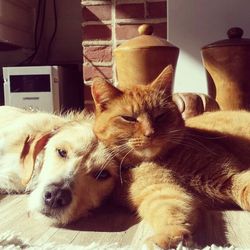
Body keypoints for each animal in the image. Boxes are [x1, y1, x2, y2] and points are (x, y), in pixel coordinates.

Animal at [91, 65, 250, 249]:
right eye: (128, 118)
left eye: (160, 115)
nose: (150, 133)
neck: (164, 161)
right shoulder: (162, 191)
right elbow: (172, 212)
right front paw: (169, 238)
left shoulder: (231, 178)